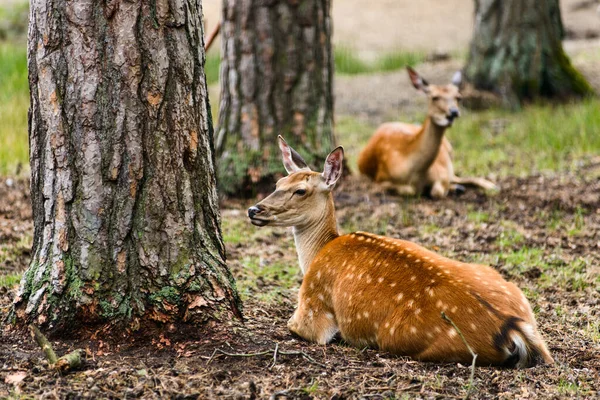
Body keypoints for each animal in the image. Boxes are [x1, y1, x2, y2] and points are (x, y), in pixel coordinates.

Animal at [247, 136, 552, 368]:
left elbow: (294, 323)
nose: (254, 209)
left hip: (411, 341)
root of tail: (512, 327)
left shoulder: (313, 307)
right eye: (277, 184)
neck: (317, 252)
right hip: (511, 290)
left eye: (300, 191)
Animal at [356, 67, 496, 198]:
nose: (453, 112)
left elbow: (437, 191)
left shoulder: (442, 173)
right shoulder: (380, 178)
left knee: (458, 177)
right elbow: (410, 190)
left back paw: (490, 186)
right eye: (434, 97)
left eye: (458, 97)